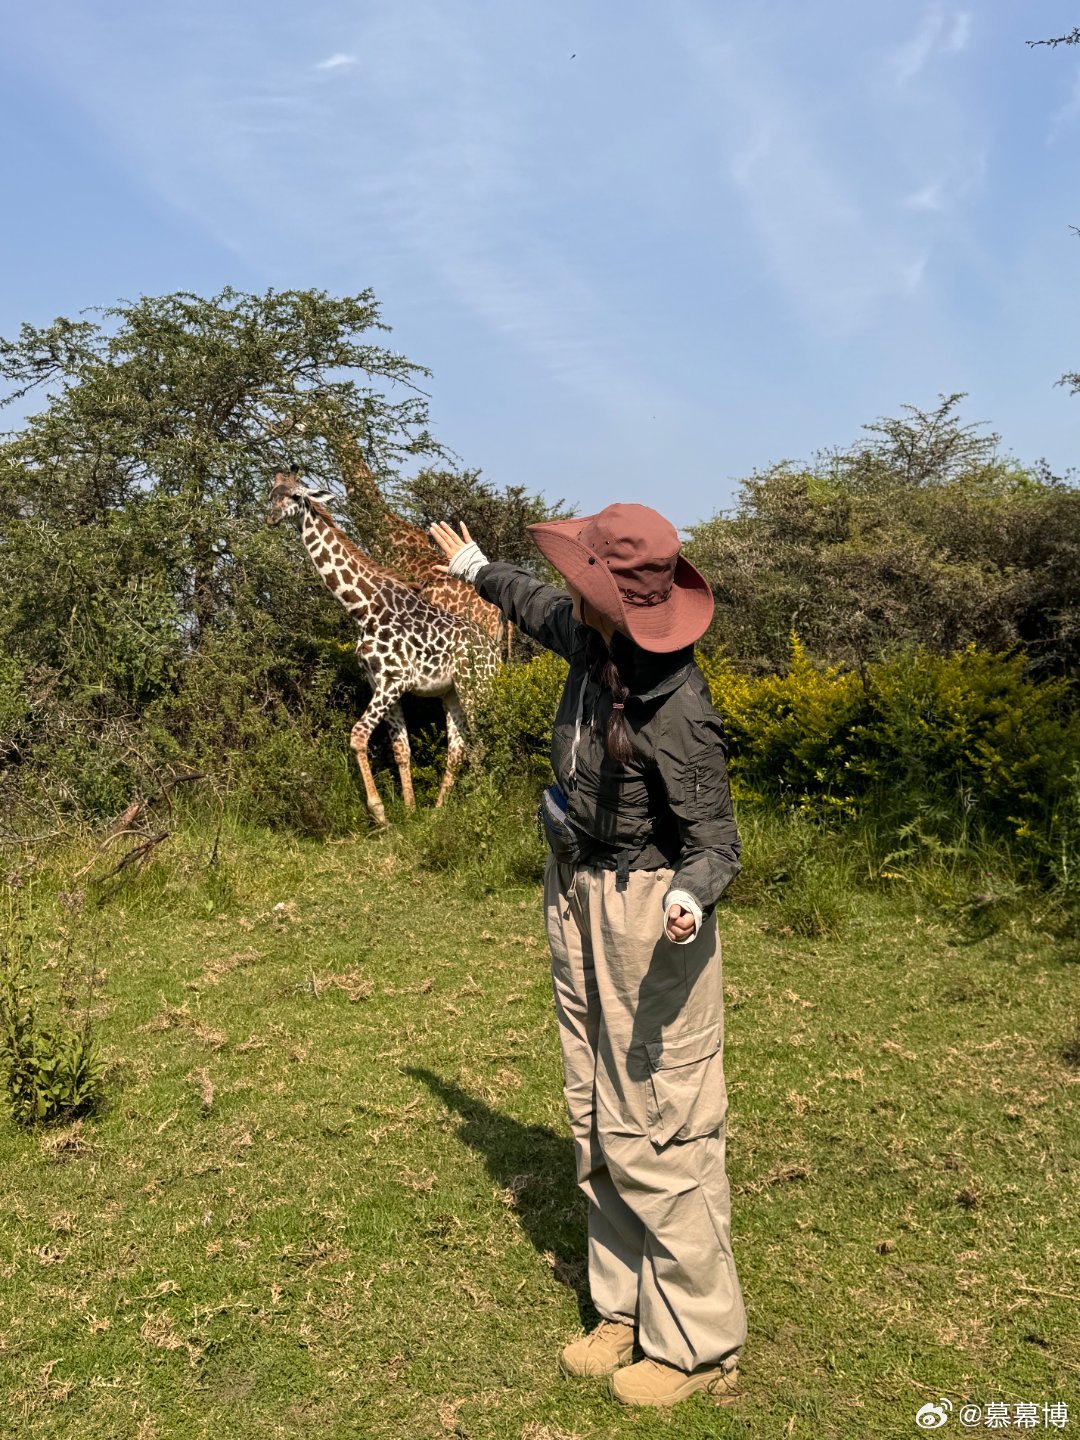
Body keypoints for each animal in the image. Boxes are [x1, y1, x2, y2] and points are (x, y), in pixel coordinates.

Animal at [269, 460, 501, 823]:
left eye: (295, 495)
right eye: (270, 495)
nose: (272, 517)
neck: (363, 607)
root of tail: (495, 652)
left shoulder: (395, 680)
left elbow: (358, 736)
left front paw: (379, 814)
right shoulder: (378, 681)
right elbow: (400, 747)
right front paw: (409, 810)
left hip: (477, 685)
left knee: (481, 742)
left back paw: (479, 805)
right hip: (451, 691)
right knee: (458, 746)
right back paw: (439, 811)